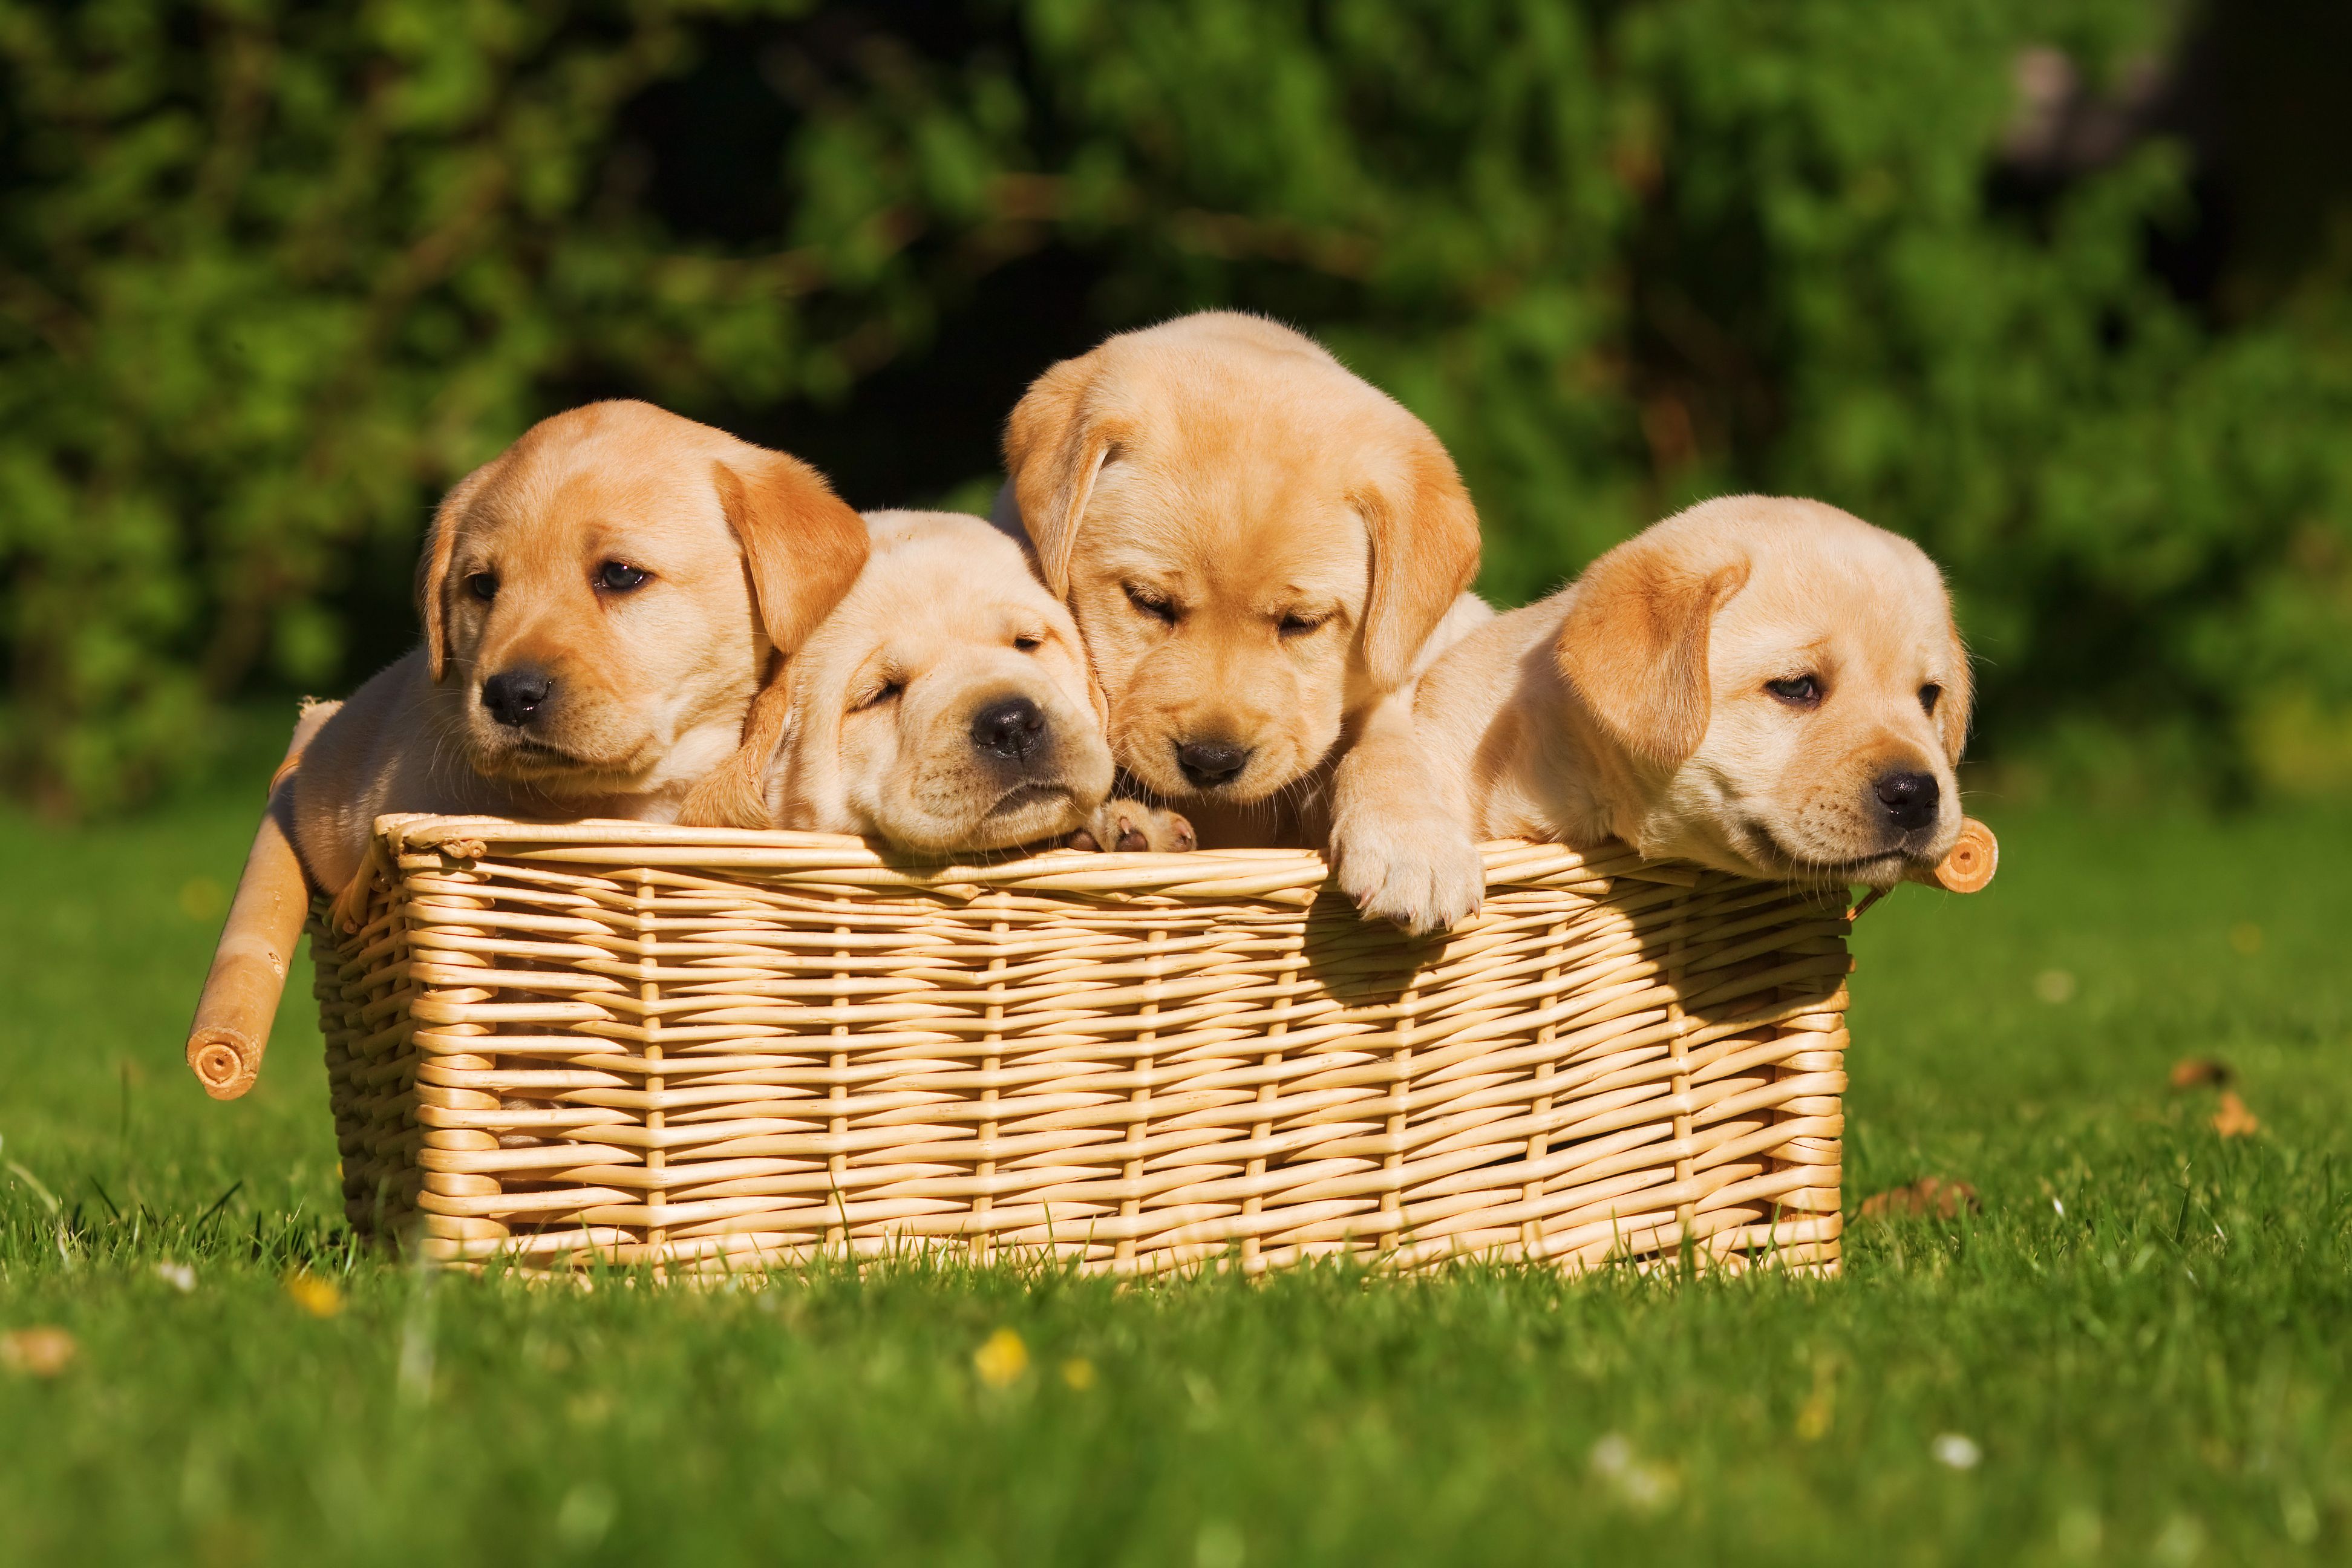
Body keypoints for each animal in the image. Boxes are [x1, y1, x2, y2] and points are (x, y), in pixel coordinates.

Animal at [997, 310, 1477, 930]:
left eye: (1301, 623)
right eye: (1149, 602)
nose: (1211, 762)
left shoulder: (1402, 667)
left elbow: (1385, 736)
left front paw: (1413, 841)